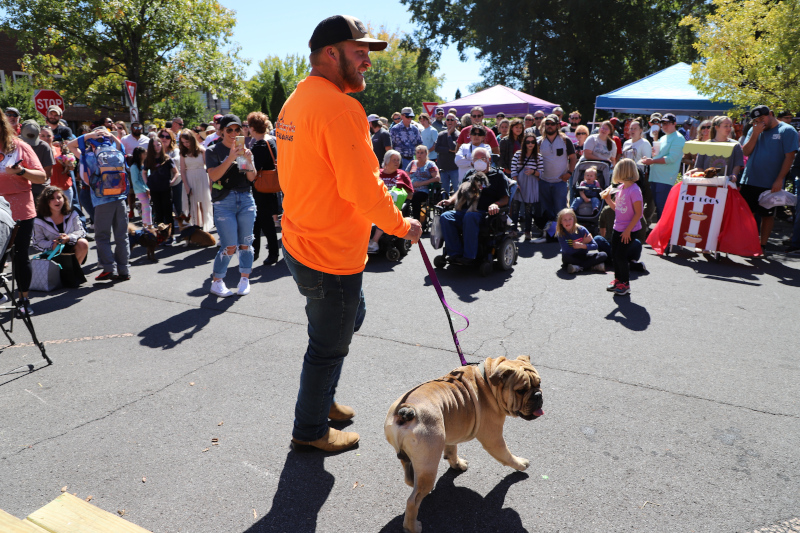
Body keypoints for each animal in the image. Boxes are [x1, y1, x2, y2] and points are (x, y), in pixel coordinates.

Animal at [382, 354, 544, 532]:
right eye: (520, 391)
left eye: (539, 383)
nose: (538, 395)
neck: (488, 382)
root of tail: (406, 410)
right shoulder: (494, 440)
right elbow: (507, 456)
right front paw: (520, 464)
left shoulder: (450, 431)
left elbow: (452, 450)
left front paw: (457, 464)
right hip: (429, 464)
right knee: (412, 501)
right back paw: (412, 526)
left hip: (413, 458)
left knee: (410, 477)